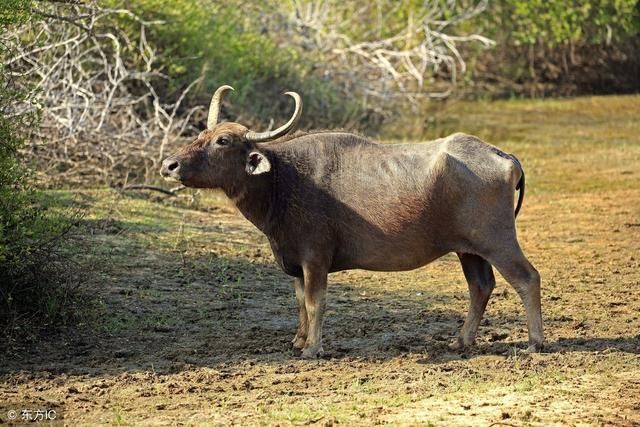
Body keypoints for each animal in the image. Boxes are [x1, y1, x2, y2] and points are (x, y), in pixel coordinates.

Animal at [162, 85, 544, 360]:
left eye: (223, 140)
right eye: (200, 134)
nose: (169, 165)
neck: (282, 180)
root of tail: (504, 157)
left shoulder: (315, 257)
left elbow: (315, 301)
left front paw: (313, 349)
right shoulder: (297, 262)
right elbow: (299, 301)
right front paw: (298, 341)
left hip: (497, 240)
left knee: (527, 278)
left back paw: (535, 342)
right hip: (469, 250)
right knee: (480, 286)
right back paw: (462, 341)